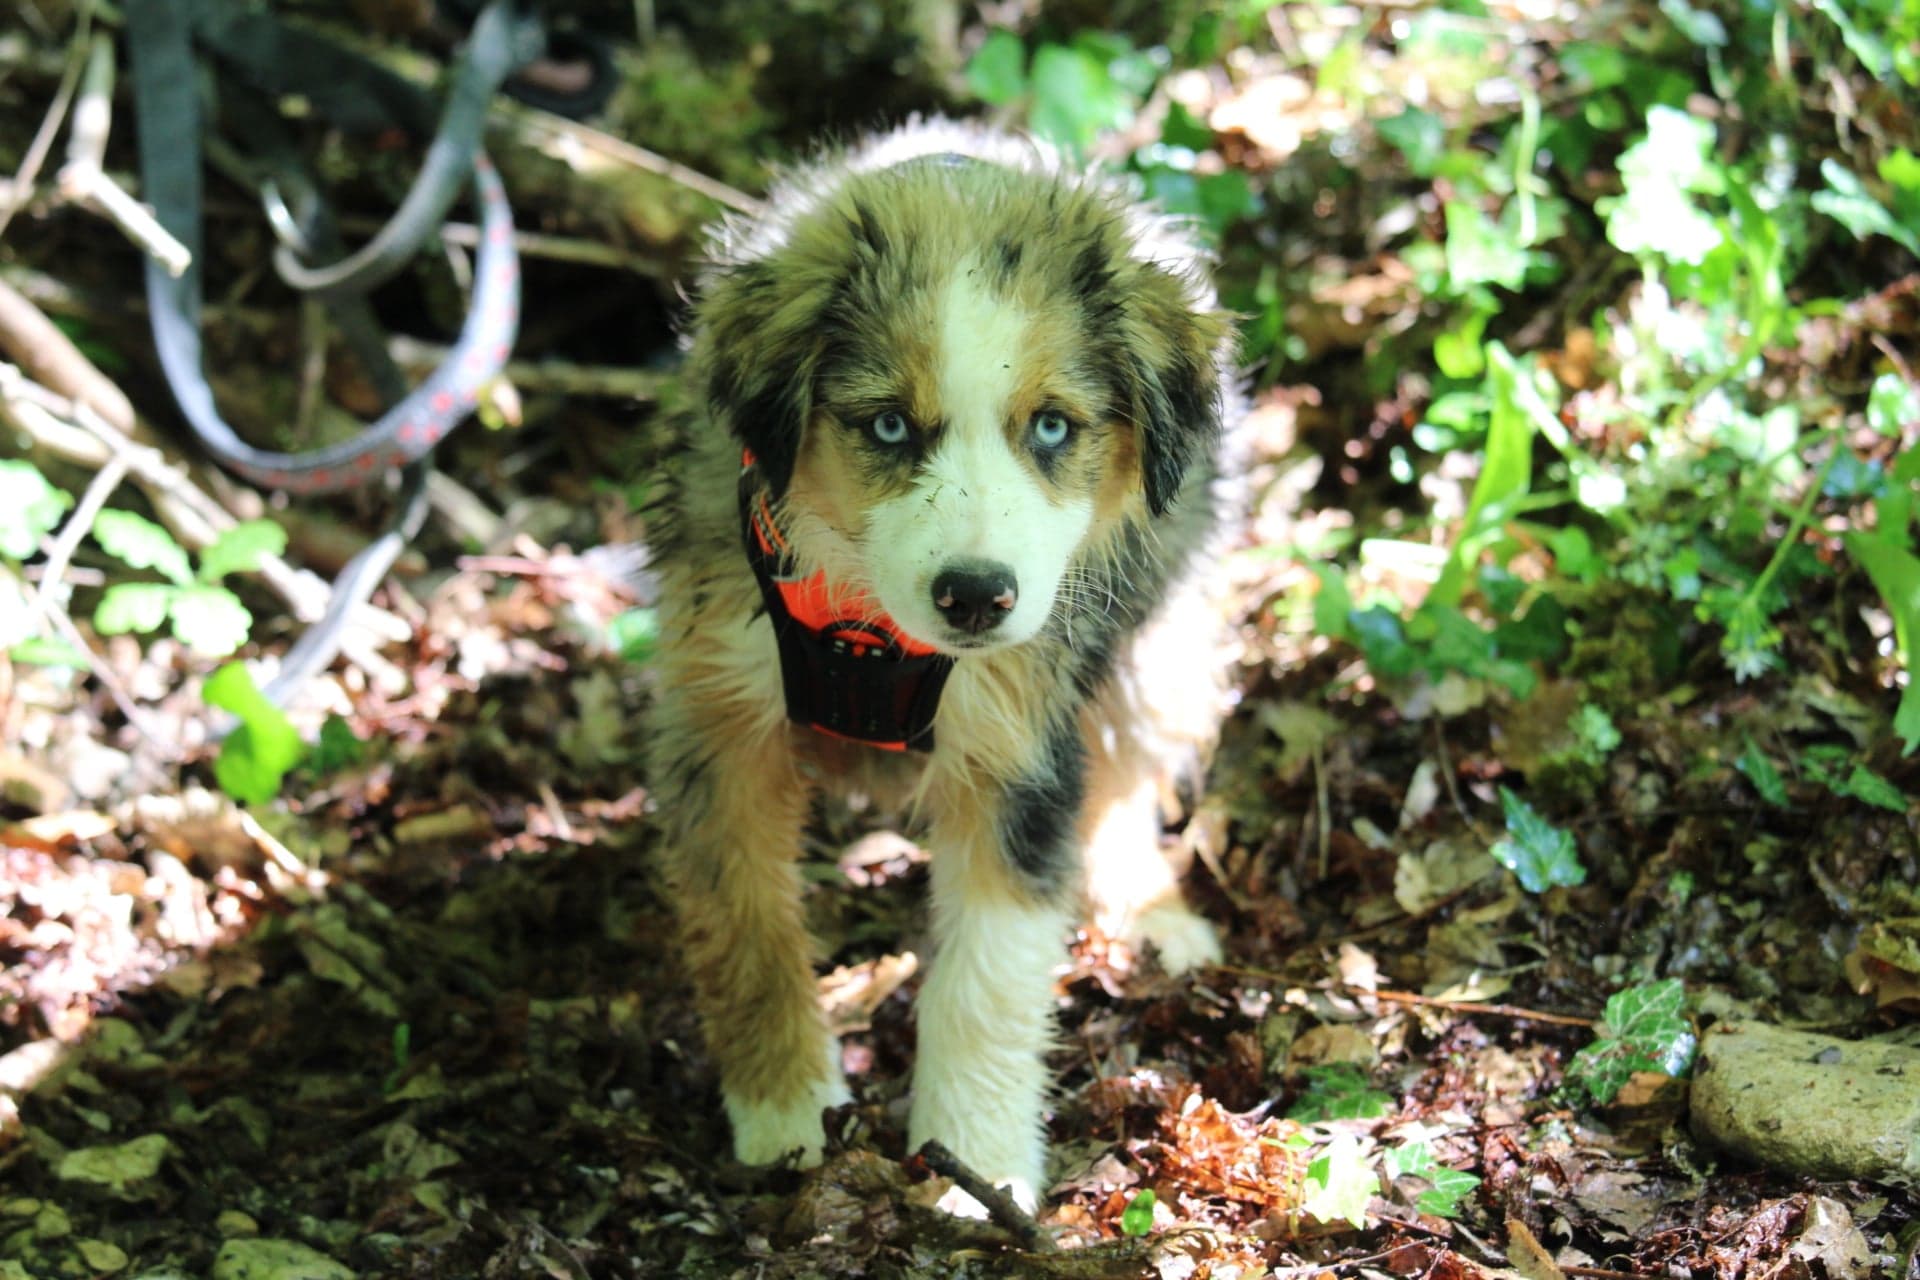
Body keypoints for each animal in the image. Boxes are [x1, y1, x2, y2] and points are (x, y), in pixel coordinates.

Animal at [652, 122, 1236, 1212]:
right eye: (888, 424)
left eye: (1051, 425)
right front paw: (785, 1109)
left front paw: (976, 1162)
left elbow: (989, 976)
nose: (976, 596)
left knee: (1127, 768)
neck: (873, 635)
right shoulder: (719, 722)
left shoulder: (1020, 748)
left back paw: (1151, 911)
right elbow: (745, 921)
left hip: (1159, 630)